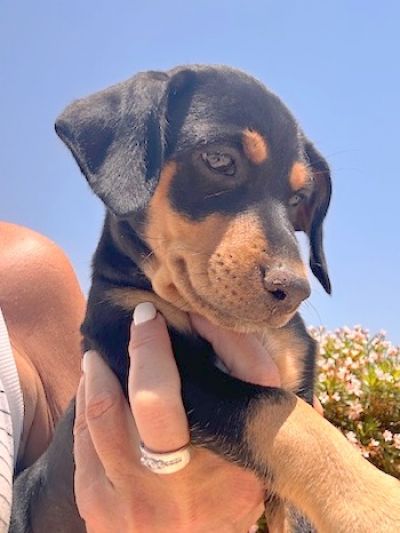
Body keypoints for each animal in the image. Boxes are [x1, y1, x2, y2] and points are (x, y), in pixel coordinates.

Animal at [11, 65, 400, 532]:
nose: (294, 290)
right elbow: (279, 413)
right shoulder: (147, 346)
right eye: (218, 160)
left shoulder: (295, 379)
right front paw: (376, 503)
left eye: (299, 199)